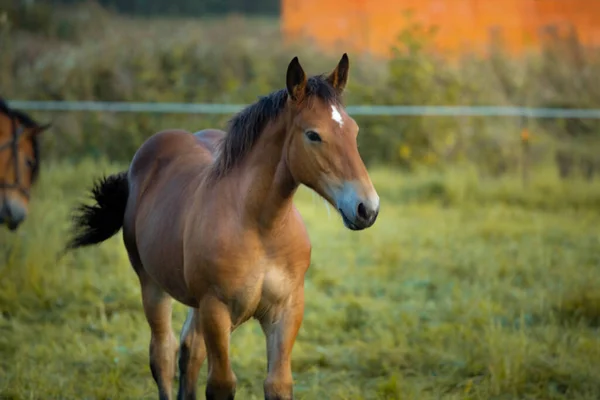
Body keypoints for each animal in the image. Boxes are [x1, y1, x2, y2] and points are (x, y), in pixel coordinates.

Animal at [67, 54, 380, 400]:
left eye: (354, 130)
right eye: (313, 134)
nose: (367, 208)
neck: (262, 226)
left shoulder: (286, 309)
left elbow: (277, 384)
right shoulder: (215, 309)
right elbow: (221, 385)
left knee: (189, 350)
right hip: (152, 284)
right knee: (162, 353)